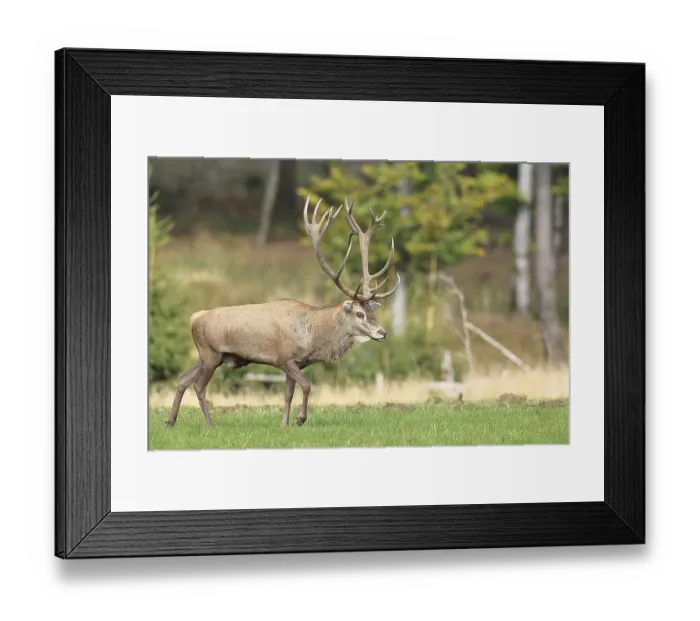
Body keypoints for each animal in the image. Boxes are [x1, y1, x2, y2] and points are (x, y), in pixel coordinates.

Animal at [165, 196, 401, 429]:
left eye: (373, 313)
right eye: (359, 313)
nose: (382, 332)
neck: (313, 335)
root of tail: (194, 318)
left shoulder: (296, 363)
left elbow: (288, 394)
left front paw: (284, 424)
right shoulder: (284, 358)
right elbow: (306, 385)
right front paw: (300, 419)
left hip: (209, 356)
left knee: (183, 378)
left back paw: (170, 421)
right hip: (210, 354)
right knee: (199, 386)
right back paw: (210, 424)